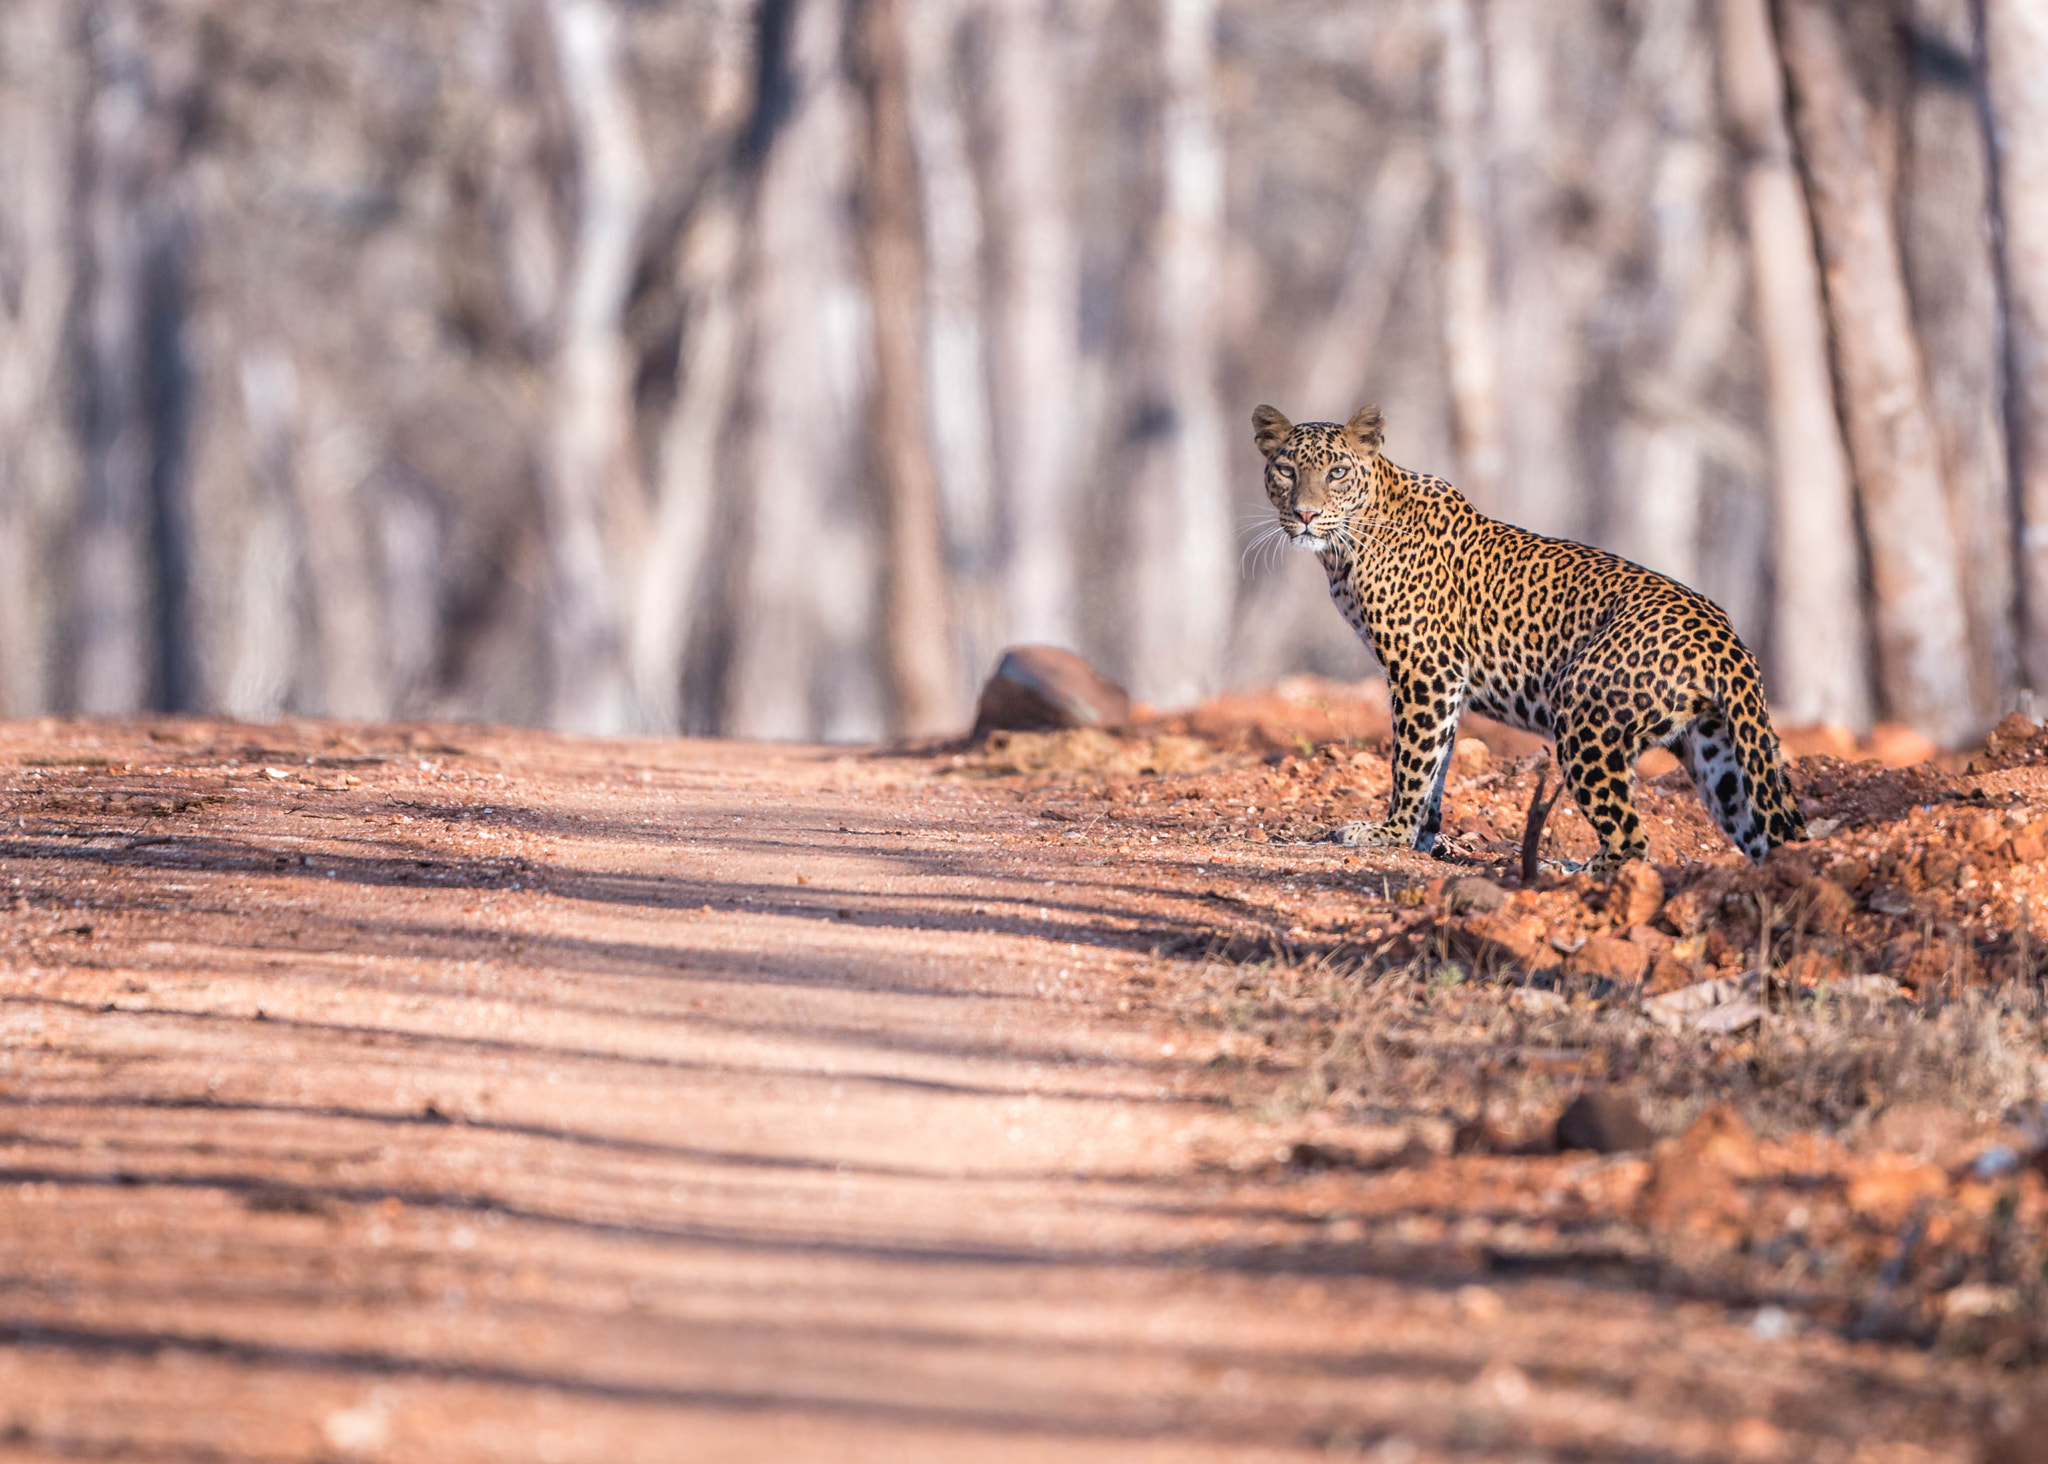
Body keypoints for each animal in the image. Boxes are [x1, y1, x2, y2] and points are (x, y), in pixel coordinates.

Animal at [1245, 403, 1810, 872]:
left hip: (1585, 714)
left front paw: (1390, 833)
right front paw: (1424, 838)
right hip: (1721, 754)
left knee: (1632, 841)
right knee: (1768, 833)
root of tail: (1725, 635)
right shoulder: (1444, 686)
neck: (1345, 548)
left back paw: (1569, 872)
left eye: (1337, 472)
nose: (1305, 515)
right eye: (1286, 470)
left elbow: (1412, 762)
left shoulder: (1425, 672)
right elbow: (1438, 762)